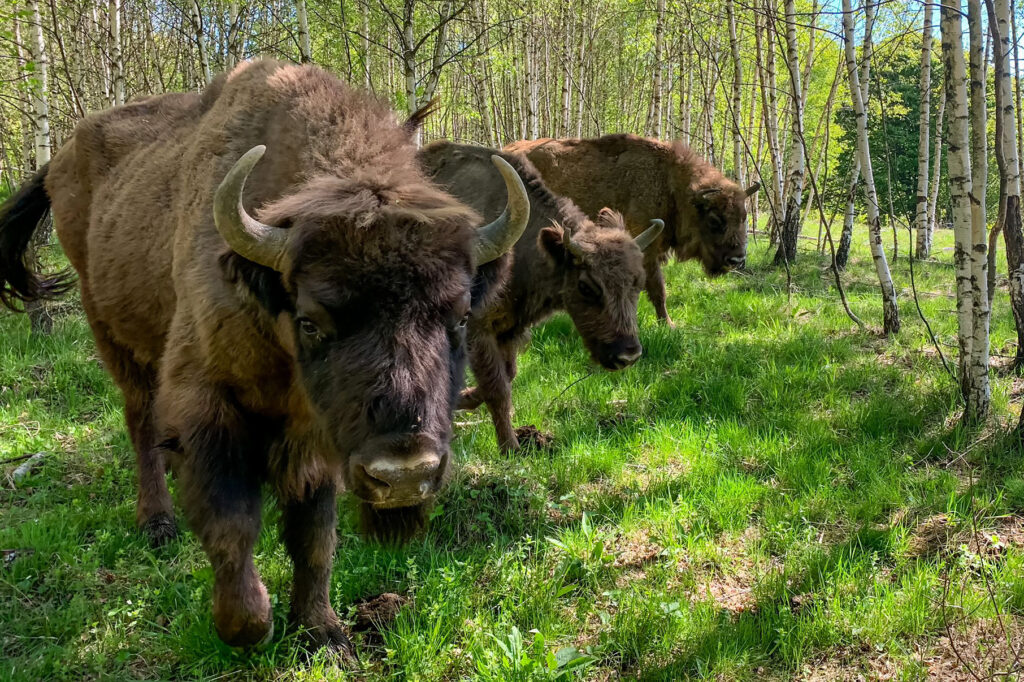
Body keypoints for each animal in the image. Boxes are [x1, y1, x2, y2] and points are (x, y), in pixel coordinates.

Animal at [0, 59, 528, 655]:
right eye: (311, 320)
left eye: (458, 316)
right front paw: (249, 625)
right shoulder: (209, 404)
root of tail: (61, 156)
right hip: (111, 332)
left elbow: (315, 532)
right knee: (140, 421)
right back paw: (157, 522)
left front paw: (322, 631)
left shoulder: (316, 437)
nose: (404, 475)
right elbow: (233, 522)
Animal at [417, 142, 663, 450]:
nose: (627, 355)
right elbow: (497, 387)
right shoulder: (477, 329)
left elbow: (507, 377)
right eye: (586, 286)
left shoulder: (508, 331)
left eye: (637, 283)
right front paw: (510, 447)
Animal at [505, 134, 757, 325]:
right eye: (715, 220)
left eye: (744, 218)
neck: (670, 185)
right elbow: (658, 288)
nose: (737, 260)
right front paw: (668, 324)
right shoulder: (647, 248)